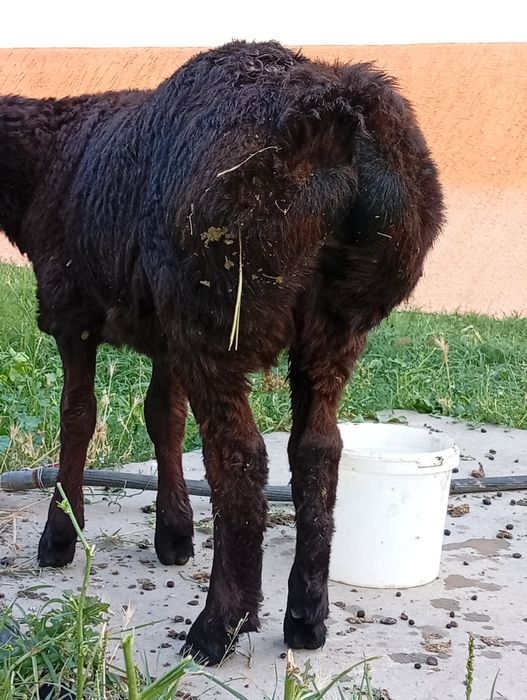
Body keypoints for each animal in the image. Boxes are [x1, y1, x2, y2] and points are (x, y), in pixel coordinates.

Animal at [0, 40, 443, 663]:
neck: (42, 161)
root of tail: (343, 118)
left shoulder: (74, 313)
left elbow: (77, 418)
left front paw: (61, 536)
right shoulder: (164, 332)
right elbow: (163, 418)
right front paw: (174, 533)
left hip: (215, 308)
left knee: (240, 458)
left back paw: (218, 625)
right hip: (334, 321)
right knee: (318, 450)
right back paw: (306, 617)